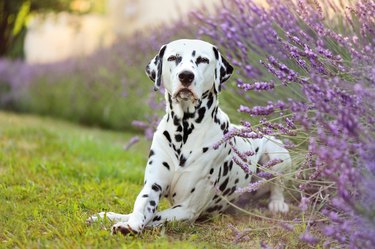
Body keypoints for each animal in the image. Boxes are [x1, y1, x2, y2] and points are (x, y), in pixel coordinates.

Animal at [87, 39, 290, 235]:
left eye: (202, 59)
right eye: (172, 58)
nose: (186, 76)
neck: (184, 130)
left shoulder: (187, 208)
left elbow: (156, 217)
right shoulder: (152, 188)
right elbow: (141, 208)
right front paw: (124, 222)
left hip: (277, 152)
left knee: (278, 184)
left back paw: (277, 203)